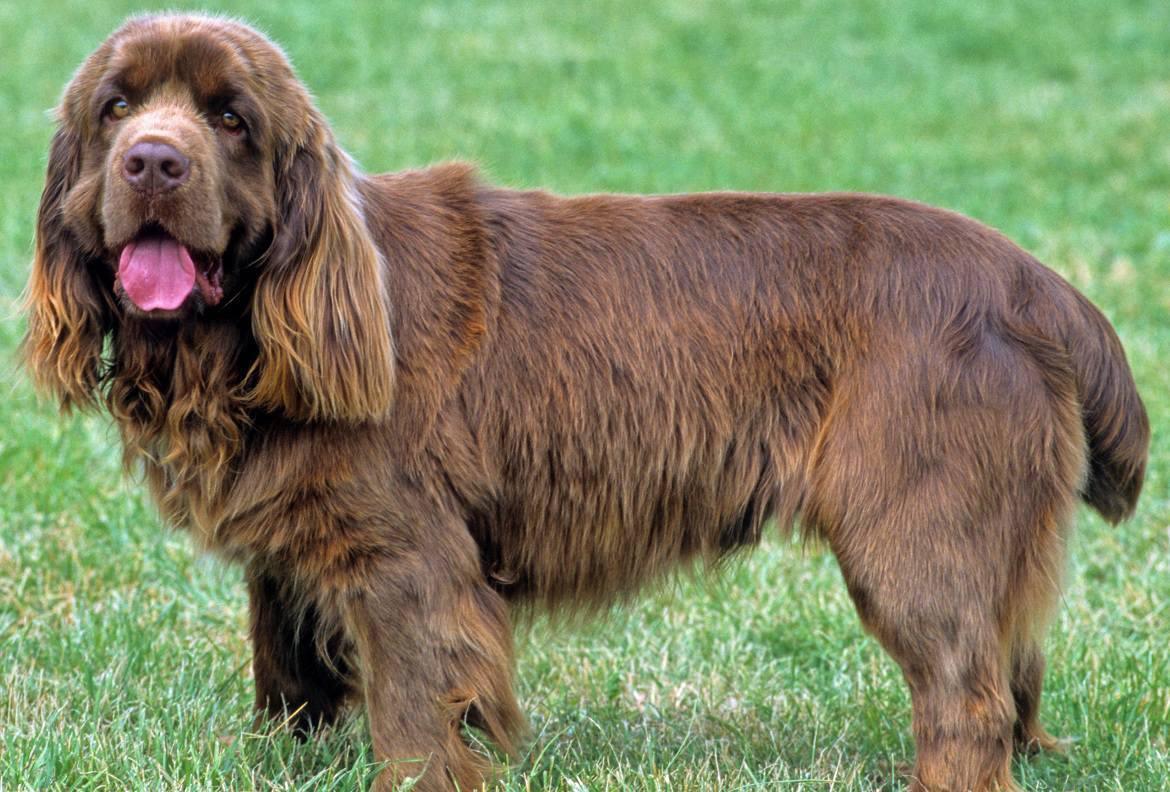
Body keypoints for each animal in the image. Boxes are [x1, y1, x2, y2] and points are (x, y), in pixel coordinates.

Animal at [22, 13, 1146, 790]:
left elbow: (415, 714)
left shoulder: (408, 559)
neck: (242, 342)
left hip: (915, 529)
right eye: (115, 108)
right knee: (1013, 674)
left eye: (231, 118)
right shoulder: (292, 560)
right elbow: (289, 681)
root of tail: (1036, 281)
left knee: (965, 701)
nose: (154, 161)